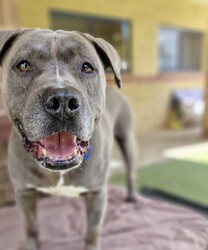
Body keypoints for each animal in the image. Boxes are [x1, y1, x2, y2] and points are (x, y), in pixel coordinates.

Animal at [0, 29, 137, 250]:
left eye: (87, 67)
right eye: (23, 65)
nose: (62, 100)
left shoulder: (97, 194)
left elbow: (93, 231)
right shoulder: (24, 191)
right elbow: (30, 224)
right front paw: (31, 243)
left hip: (126, 140)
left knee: (131, 170)